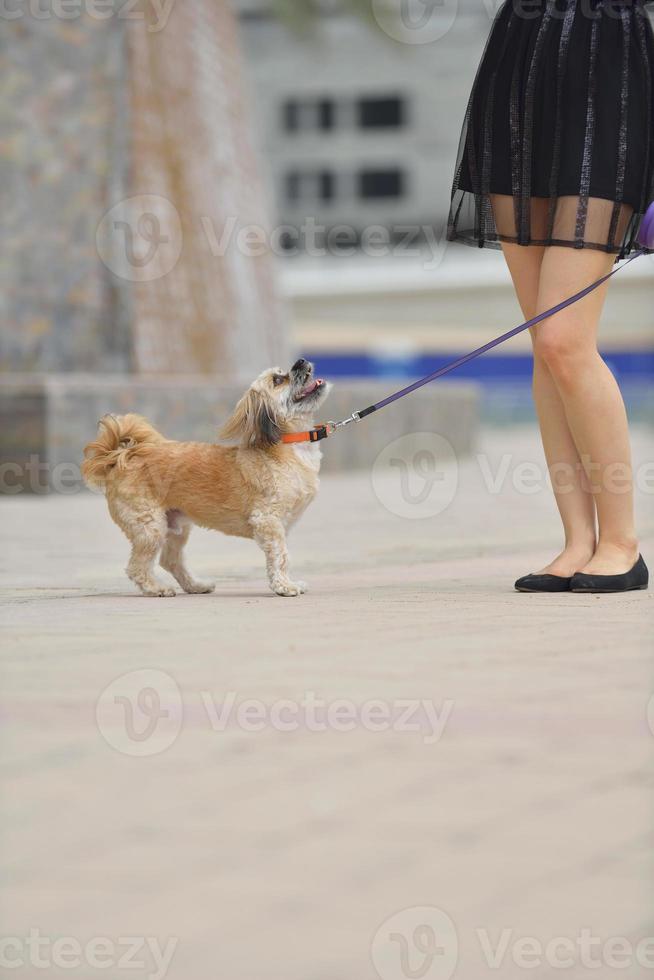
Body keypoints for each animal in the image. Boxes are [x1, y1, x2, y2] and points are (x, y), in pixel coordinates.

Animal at [84, 360, 334, 596]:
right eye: (278, 380)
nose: (300, 361)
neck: (289, 445)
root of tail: (122, 456)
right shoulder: (268, 521)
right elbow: (281, 556)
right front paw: (284, 586)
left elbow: (282, 556)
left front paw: (288, 583)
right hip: (149, 527)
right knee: (137, 567)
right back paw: (157, 589)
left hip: (175, 528)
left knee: (170, 560)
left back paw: (196, 585)